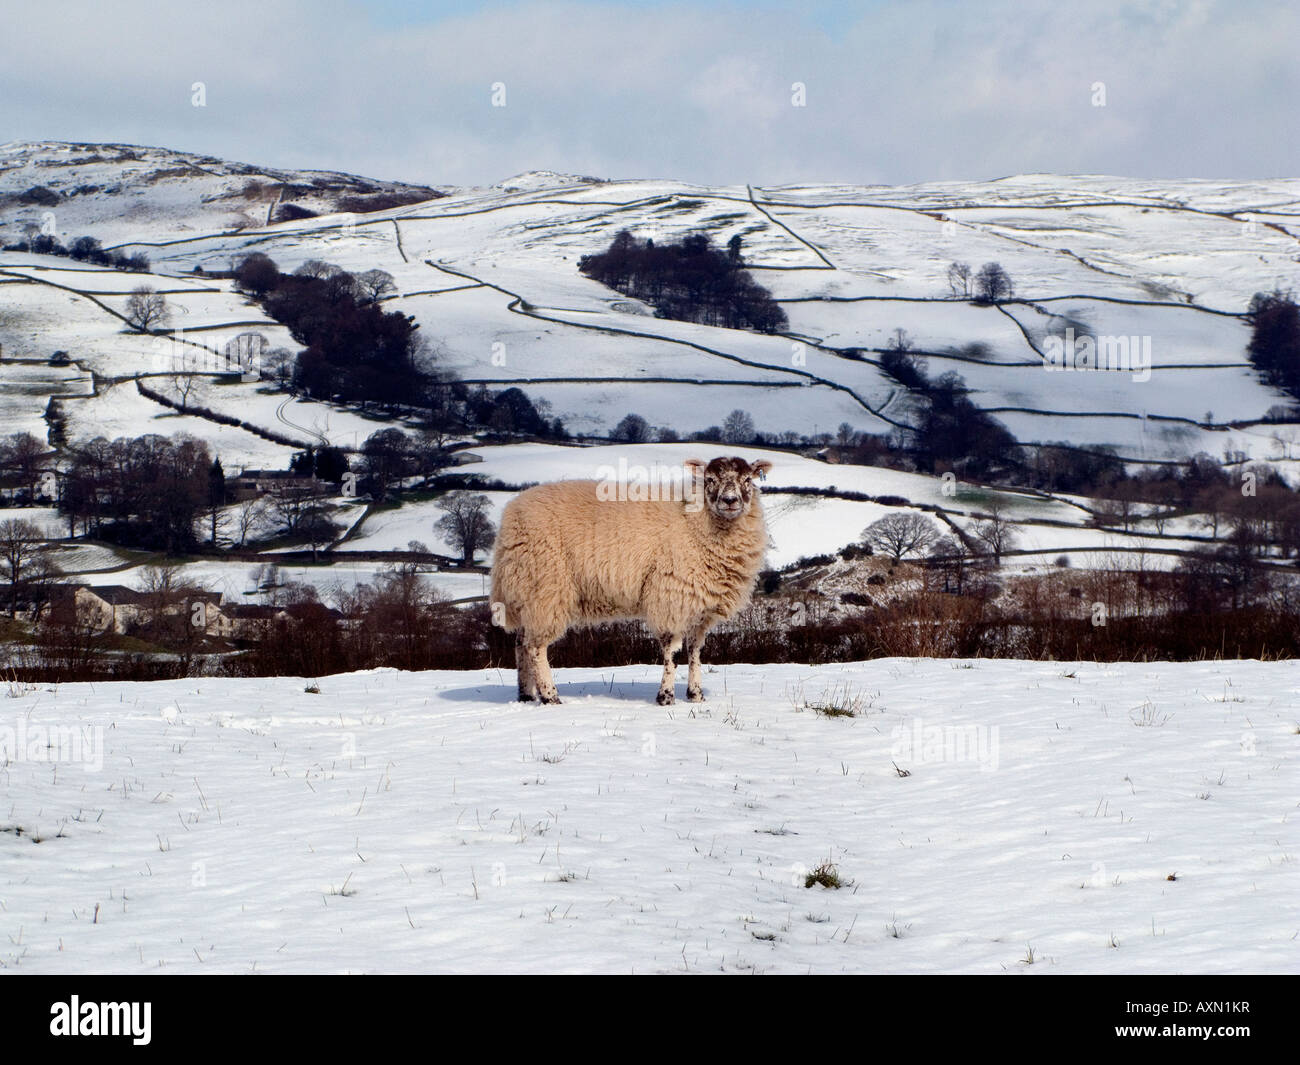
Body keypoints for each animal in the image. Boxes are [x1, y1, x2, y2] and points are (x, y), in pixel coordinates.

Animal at [488, 455, 769, 702]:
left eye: (748, 479)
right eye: (710, 479)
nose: (730, 500)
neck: (695, 521)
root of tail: (510, 516)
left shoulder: (699, 607)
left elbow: (695, 653)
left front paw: (696, 696)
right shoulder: (671, 597)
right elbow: (674, 652)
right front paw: (666, 697)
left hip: (528, 588)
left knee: (521, 643)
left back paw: (526, 695)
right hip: (546, 585)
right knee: (535, 647)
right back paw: (550, 696)